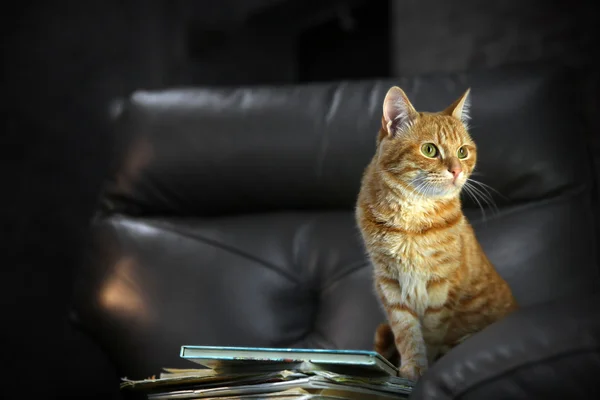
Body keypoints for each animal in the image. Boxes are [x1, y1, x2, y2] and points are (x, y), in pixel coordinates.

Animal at [356, 86, 516, 380]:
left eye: (463, 152)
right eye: (429, 150)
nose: (457, 170)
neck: (410, 220)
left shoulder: (442, 287)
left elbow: (430, 334)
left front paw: (426, 370)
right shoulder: (389, 284)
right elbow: (406, 334)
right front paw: (411, 369)